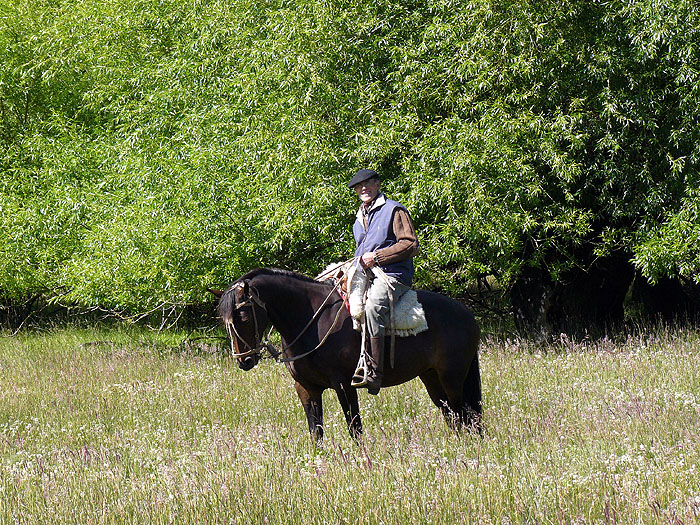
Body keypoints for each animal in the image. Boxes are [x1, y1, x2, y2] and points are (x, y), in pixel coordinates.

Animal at [216, 266, 482, 438]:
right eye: (225, 320)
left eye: (243, 316)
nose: (244, 360)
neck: (311, 321)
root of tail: (467, 314)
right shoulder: (306, 388)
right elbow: (316, 432)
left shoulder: (344, 385)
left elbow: (354, 428)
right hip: (431, 376)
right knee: (452, 415)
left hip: (452, 377)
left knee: (465, 413)